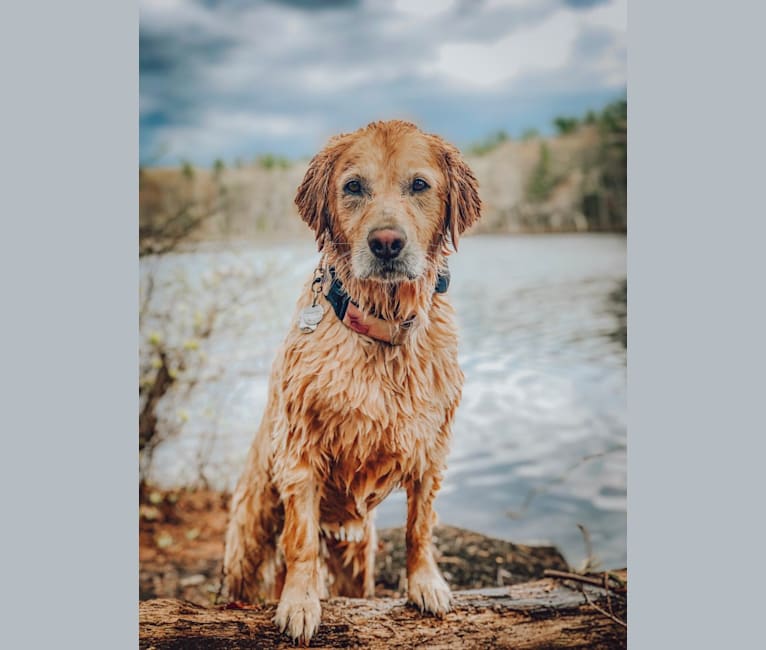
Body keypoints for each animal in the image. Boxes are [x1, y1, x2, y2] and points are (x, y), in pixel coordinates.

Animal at [225, 119, 484, 640]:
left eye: (419, 185)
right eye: (353, 187)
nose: (386, 243)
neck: (382, 329)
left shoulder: (432, 450)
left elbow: (419, 527)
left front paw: (425, 583)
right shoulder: (300, 452)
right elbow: (301, 540)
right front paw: (300, 602)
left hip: (356, 555)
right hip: (249, 534)